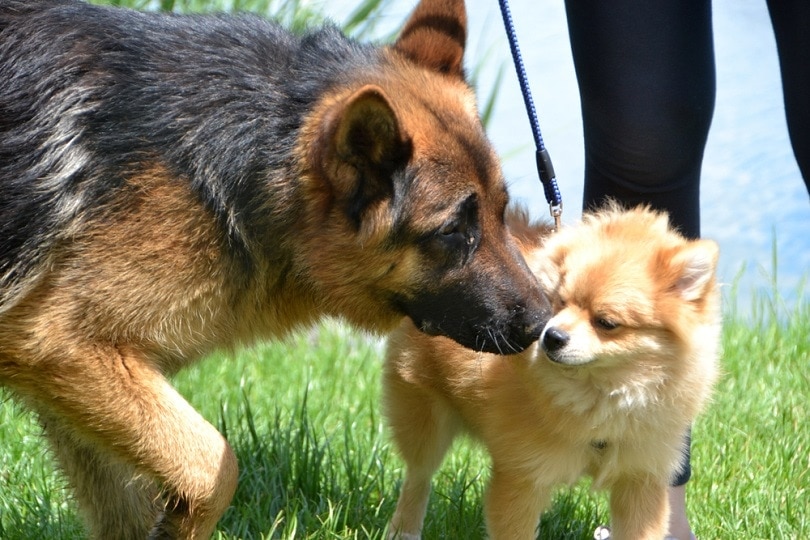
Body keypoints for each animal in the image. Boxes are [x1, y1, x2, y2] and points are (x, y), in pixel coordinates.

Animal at [0, 0, 548, 536]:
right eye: (453, 231)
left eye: (501, 211)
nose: (544, 323)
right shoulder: (60, 344)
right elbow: (214, 465)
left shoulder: (78, 379)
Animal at [386, 205, 720, 536]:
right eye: (559, 302)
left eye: (606, 323)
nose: (552, 336)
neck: (602, 399)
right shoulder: (523, 475)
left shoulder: (641, 479)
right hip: (424, 415)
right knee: (419, 474)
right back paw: (404, 527)